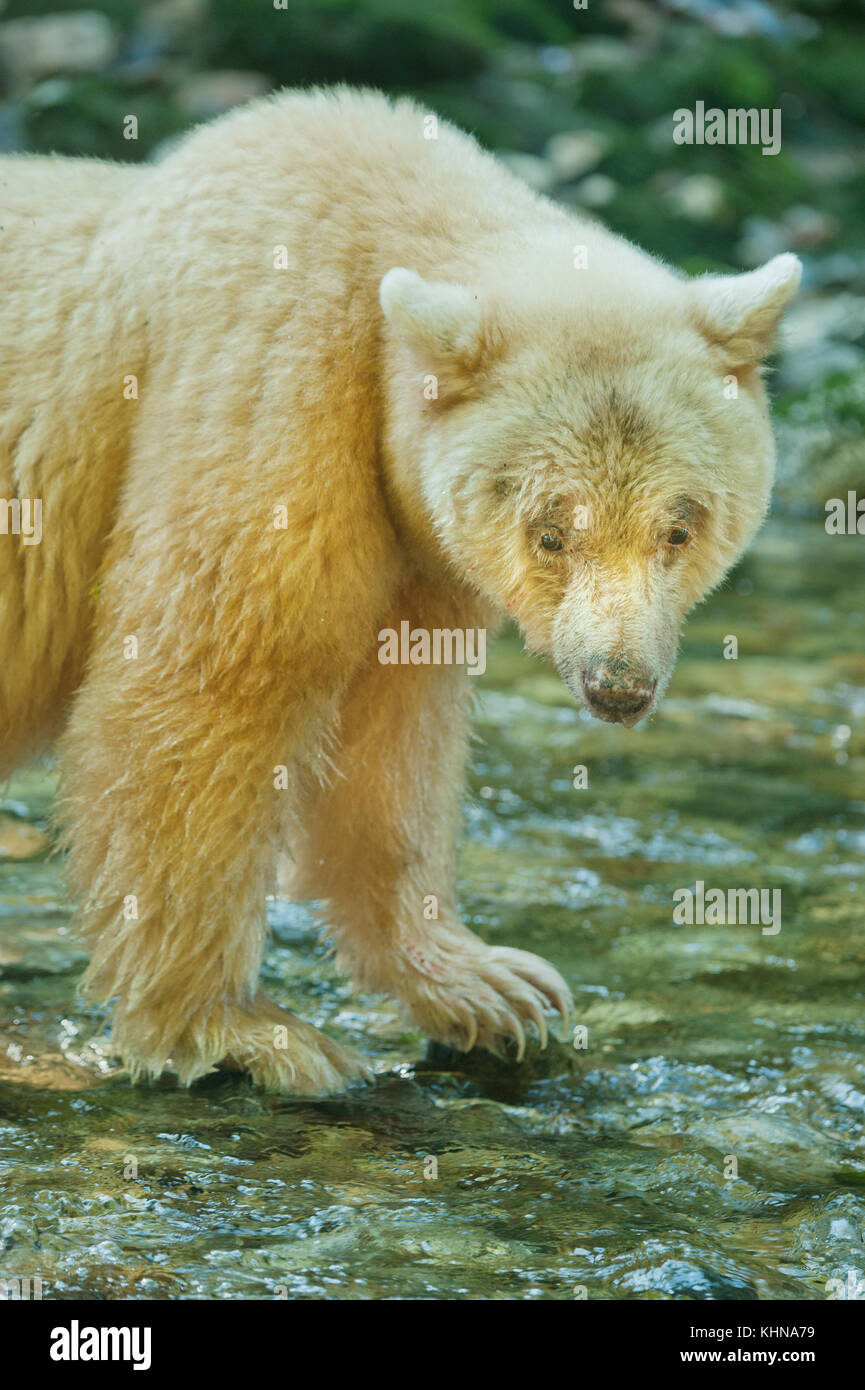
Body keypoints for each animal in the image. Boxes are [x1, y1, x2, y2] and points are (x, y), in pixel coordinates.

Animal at [0, 89, 801, 1095]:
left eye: (679, 528)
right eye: (551, 531)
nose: (617, 687)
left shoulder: (413, 550)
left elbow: (392, 739)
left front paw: (492, 988)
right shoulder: (270, 384)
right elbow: (212, 680)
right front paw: (240, 1030)